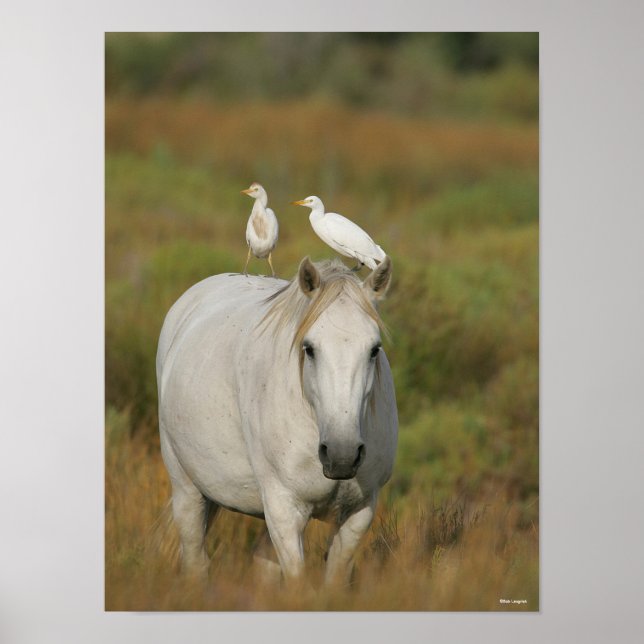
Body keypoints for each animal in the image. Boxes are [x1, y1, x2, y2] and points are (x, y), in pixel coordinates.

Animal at [156, 256, 398, 585]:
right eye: (309, 348)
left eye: (374, 349)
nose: (342, 455)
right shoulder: (284, 509)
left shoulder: (358, 513)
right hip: (187, 489)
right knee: (195, 562)